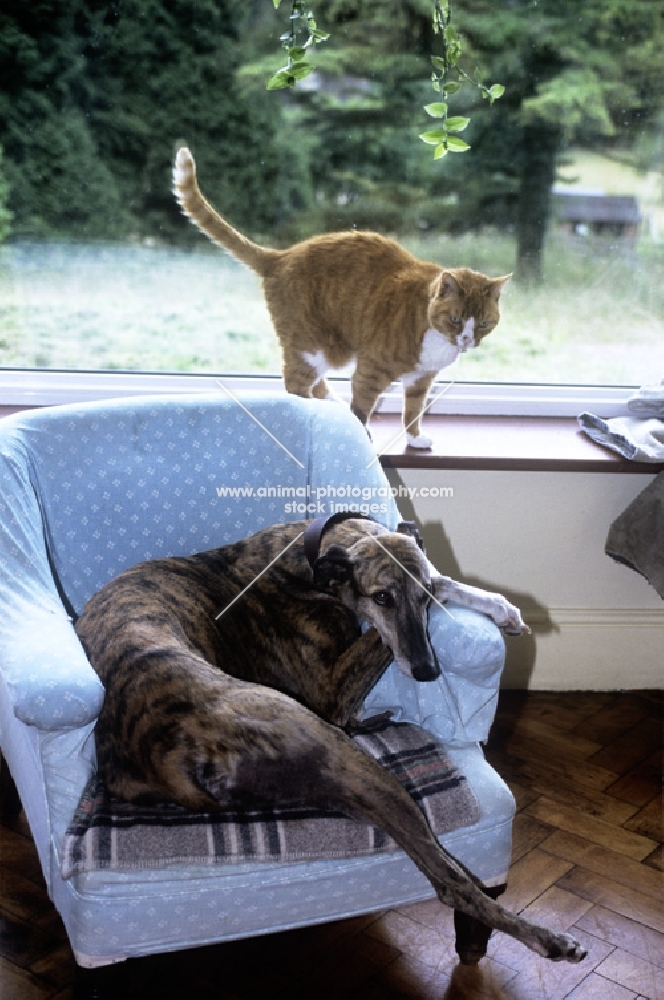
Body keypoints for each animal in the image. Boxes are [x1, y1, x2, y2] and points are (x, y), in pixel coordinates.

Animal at [171, 146, 508, 448]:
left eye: (483, 324)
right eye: (456, 319)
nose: (467, 340)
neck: (435, 338)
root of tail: (281, 256)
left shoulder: (420, 380)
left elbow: (412, 411)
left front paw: (415, 439)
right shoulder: (371, 370)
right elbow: (362, 406)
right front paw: (362, 436)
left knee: (314, 381)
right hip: (317, 345)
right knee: (295, 382)